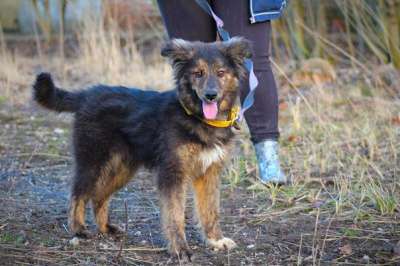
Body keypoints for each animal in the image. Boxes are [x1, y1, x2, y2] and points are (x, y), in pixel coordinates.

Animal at [34, 37, 252, 258]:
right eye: (197, 73)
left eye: (221, 73)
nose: (210, 95)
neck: (198, 118)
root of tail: (87, 95)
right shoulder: (172, 173)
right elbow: (175, 214)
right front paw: (180, 248)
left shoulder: (209, 173)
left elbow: (210, 211)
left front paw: (215, 239)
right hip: (93, 160)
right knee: (78, 194)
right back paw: (78, 228)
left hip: (121, 168)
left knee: (99, 196)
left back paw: (106, 228)